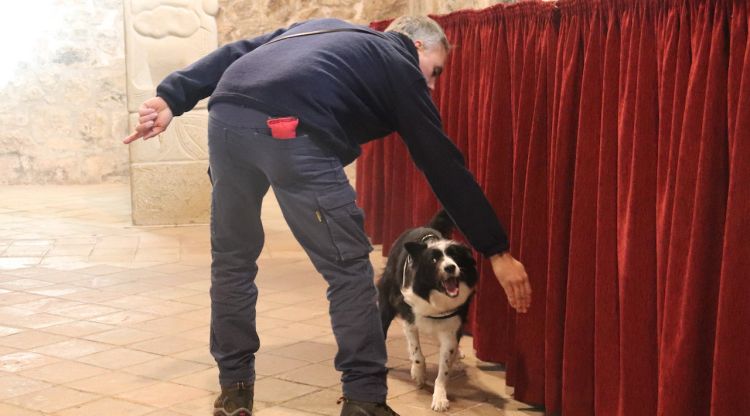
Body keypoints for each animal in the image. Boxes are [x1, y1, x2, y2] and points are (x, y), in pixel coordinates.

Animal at [378, 211, 478, 412]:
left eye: (455, 257)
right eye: (434, 260)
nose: (450, 267)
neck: (433, 293)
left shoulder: (451, 326)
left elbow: (444, 367)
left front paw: (440, 397)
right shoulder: (409, 316)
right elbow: (416, 351)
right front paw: (418, 373)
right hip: (387, 298)